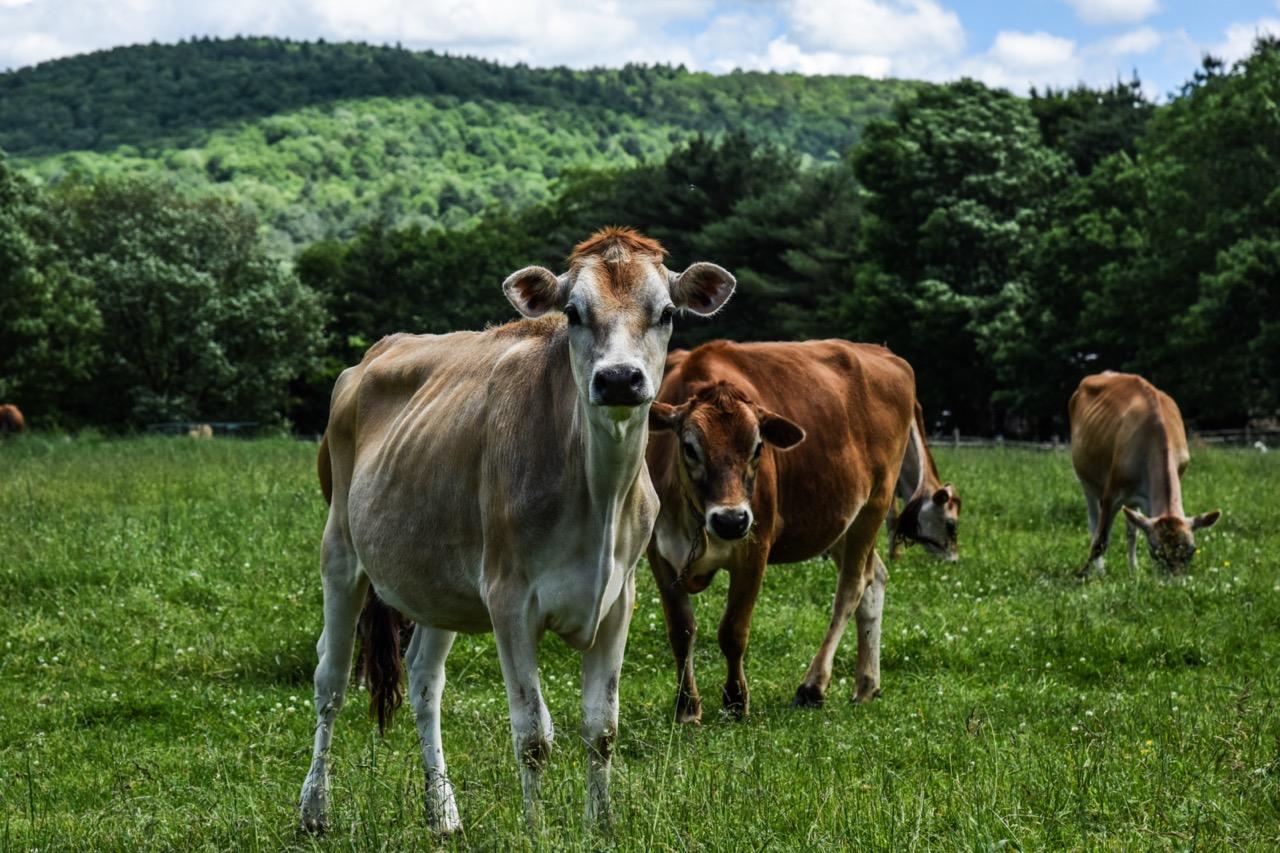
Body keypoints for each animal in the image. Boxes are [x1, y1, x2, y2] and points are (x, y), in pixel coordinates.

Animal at [297, 227, 735, 836]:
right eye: (572, 312)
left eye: (667, 312)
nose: (619, 378)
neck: (597, 497)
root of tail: (377, 352)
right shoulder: (509, 599)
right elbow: (532, 734)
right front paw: (536, 830)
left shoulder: (618, 599)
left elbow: (602, 728)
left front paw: (601, 826)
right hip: (340, 552)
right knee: (330, 681)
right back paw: (314, 808)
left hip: (440, 583)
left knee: (425, 682)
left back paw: (443, 812)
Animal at [646, 340, 915, 721]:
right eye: (689, 448)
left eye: (758, 447)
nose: (731, 520)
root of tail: (884, 353)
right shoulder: (659, 553)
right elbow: (681, 631)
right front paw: (686, 707)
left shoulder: (755, 548)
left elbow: (733, 631)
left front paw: (735, 700)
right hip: (840, 519)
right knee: (874, 579)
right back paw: (866, 684)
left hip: (875, 503)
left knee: (851, 588)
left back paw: (813, 685)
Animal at [1069, 371, 1221, 576]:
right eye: (1157, 553)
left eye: (1191, 551)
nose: (1177, 583)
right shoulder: (1111, 493)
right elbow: (1100, 542)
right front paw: (1082, 573)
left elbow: (1136, 528)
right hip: (1086, 481)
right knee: (1093, 523)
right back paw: (1100, 570)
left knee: (1131, 530)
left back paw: (1133, 570)